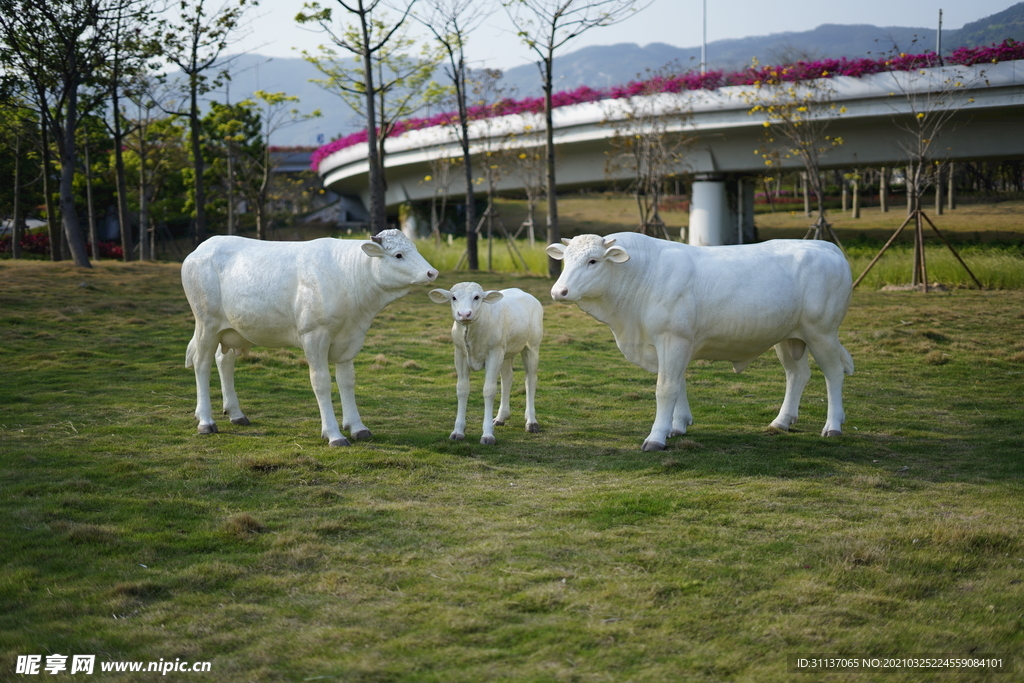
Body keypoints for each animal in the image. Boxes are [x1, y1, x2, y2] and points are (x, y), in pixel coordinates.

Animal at [182, 229, 438, 444]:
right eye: (398, 255)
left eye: (414, 248)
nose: (432, 272)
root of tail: (202, 248)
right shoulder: (314, 335)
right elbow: (321, 382)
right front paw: (334, 434)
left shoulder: (349, 338)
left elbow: (347, 381)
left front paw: (357, 427)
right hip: (207, 323)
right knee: (202, 364)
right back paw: (206, 421)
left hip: (231, 329)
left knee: (223, 361)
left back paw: (235, 414)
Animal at [548, 232, 851, 450]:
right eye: (565, 260)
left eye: (593, 261)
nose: (558, 291)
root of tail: (827, 247)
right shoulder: (668, 345)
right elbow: (678, 383)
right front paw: (677, 424)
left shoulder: (673, 339)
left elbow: (666, 388)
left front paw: (656, 437)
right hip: (788, 337)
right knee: (797, 374)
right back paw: (782, 421)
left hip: (821, 332)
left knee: (833, 373)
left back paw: (833, 426)